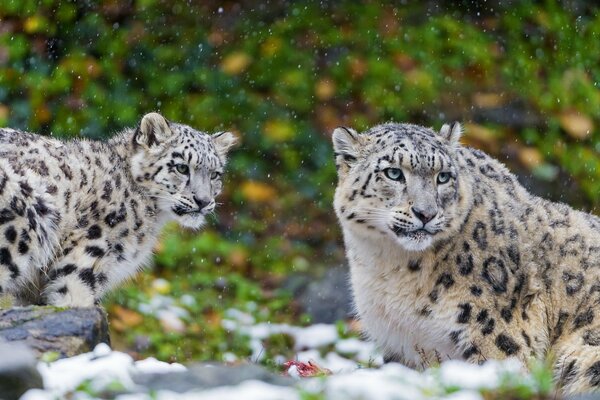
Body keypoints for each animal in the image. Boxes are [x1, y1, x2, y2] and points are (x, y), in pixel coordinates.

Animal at [332, 122, 600, 394]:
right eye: (394, 173)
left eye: (443, 176)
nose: (426, 213)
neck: (389, 268)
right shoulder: (399, 345)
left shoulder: (495, 334)